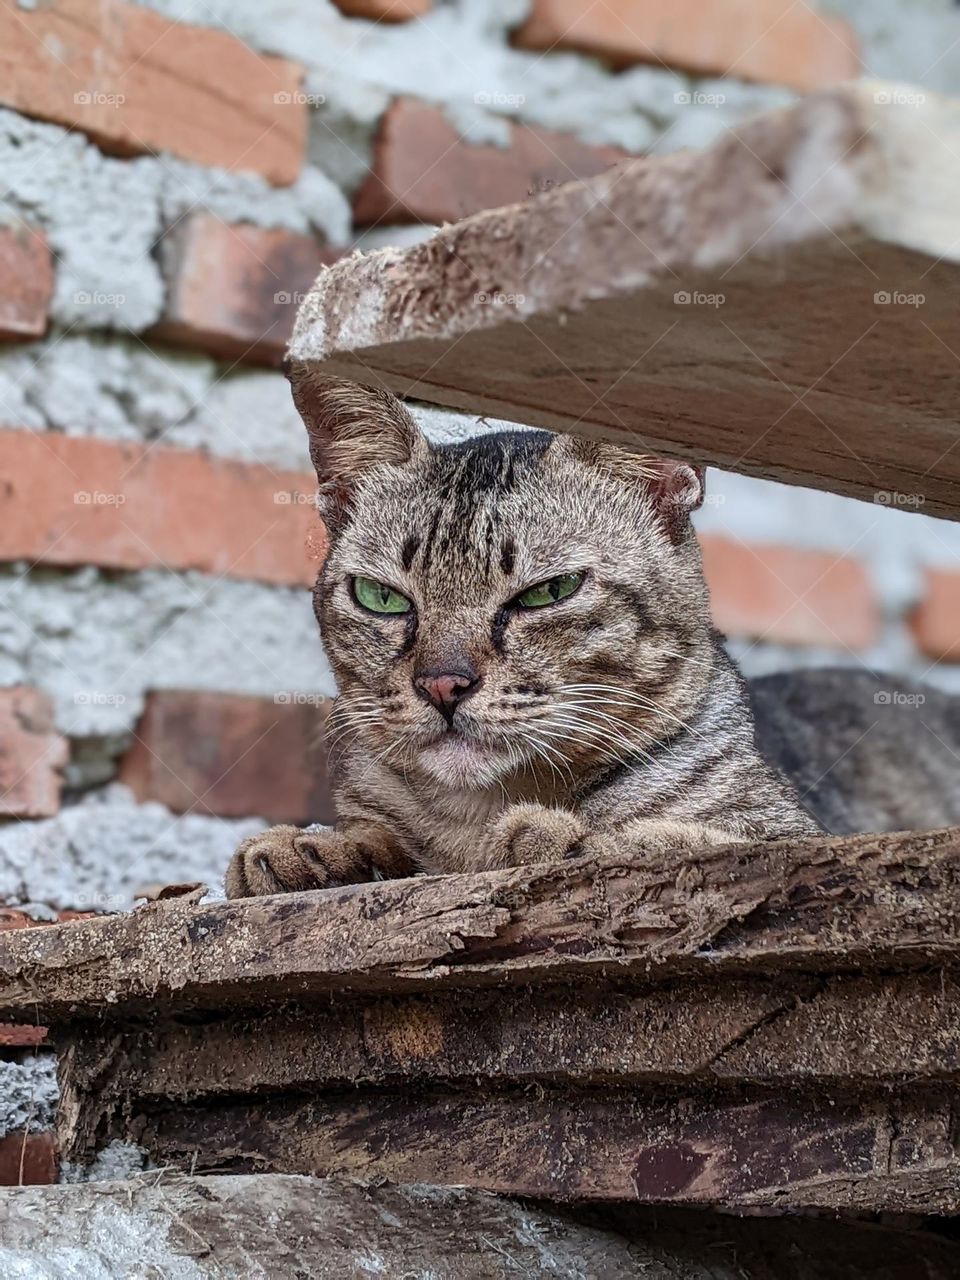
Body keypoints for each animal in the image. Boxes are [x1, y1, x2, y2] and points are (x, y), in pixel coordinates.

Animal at [225, 373, 819, 896]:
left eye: (549, 591)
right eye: (381, 597)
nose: (442, 684)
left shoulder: (792, 834)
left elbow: (696, 839)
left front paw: (567, 836)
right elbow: (375, 833)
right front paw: (317, 850)